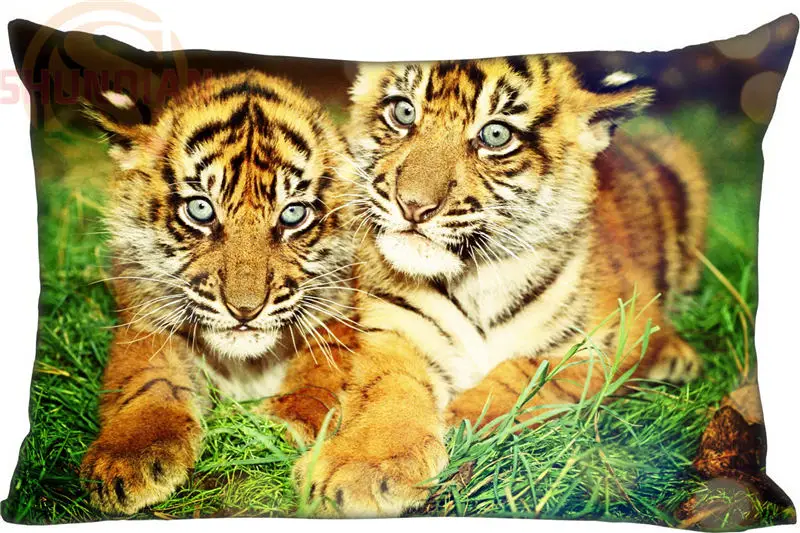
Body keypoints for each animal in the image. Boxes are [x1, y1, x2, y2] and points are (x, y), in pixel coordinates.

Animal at [79, 71, 358, 514]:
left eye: (293, 214)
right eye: (200, 210)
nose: (245, 310)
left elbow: (321, 375)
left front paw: (277, 426)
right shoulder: (146, 323)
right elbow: (149, 382)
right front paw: (128, 458)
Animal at [267, 55, 708, 516]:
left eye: (496, 135)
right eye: (403, 112)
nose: (413, 206)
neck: (476, 279)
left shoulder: (617, 333)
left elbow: (529, 374)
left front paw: (460, 420)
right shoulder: (395, 330)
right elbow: (388, 391)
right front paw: (363, 467)